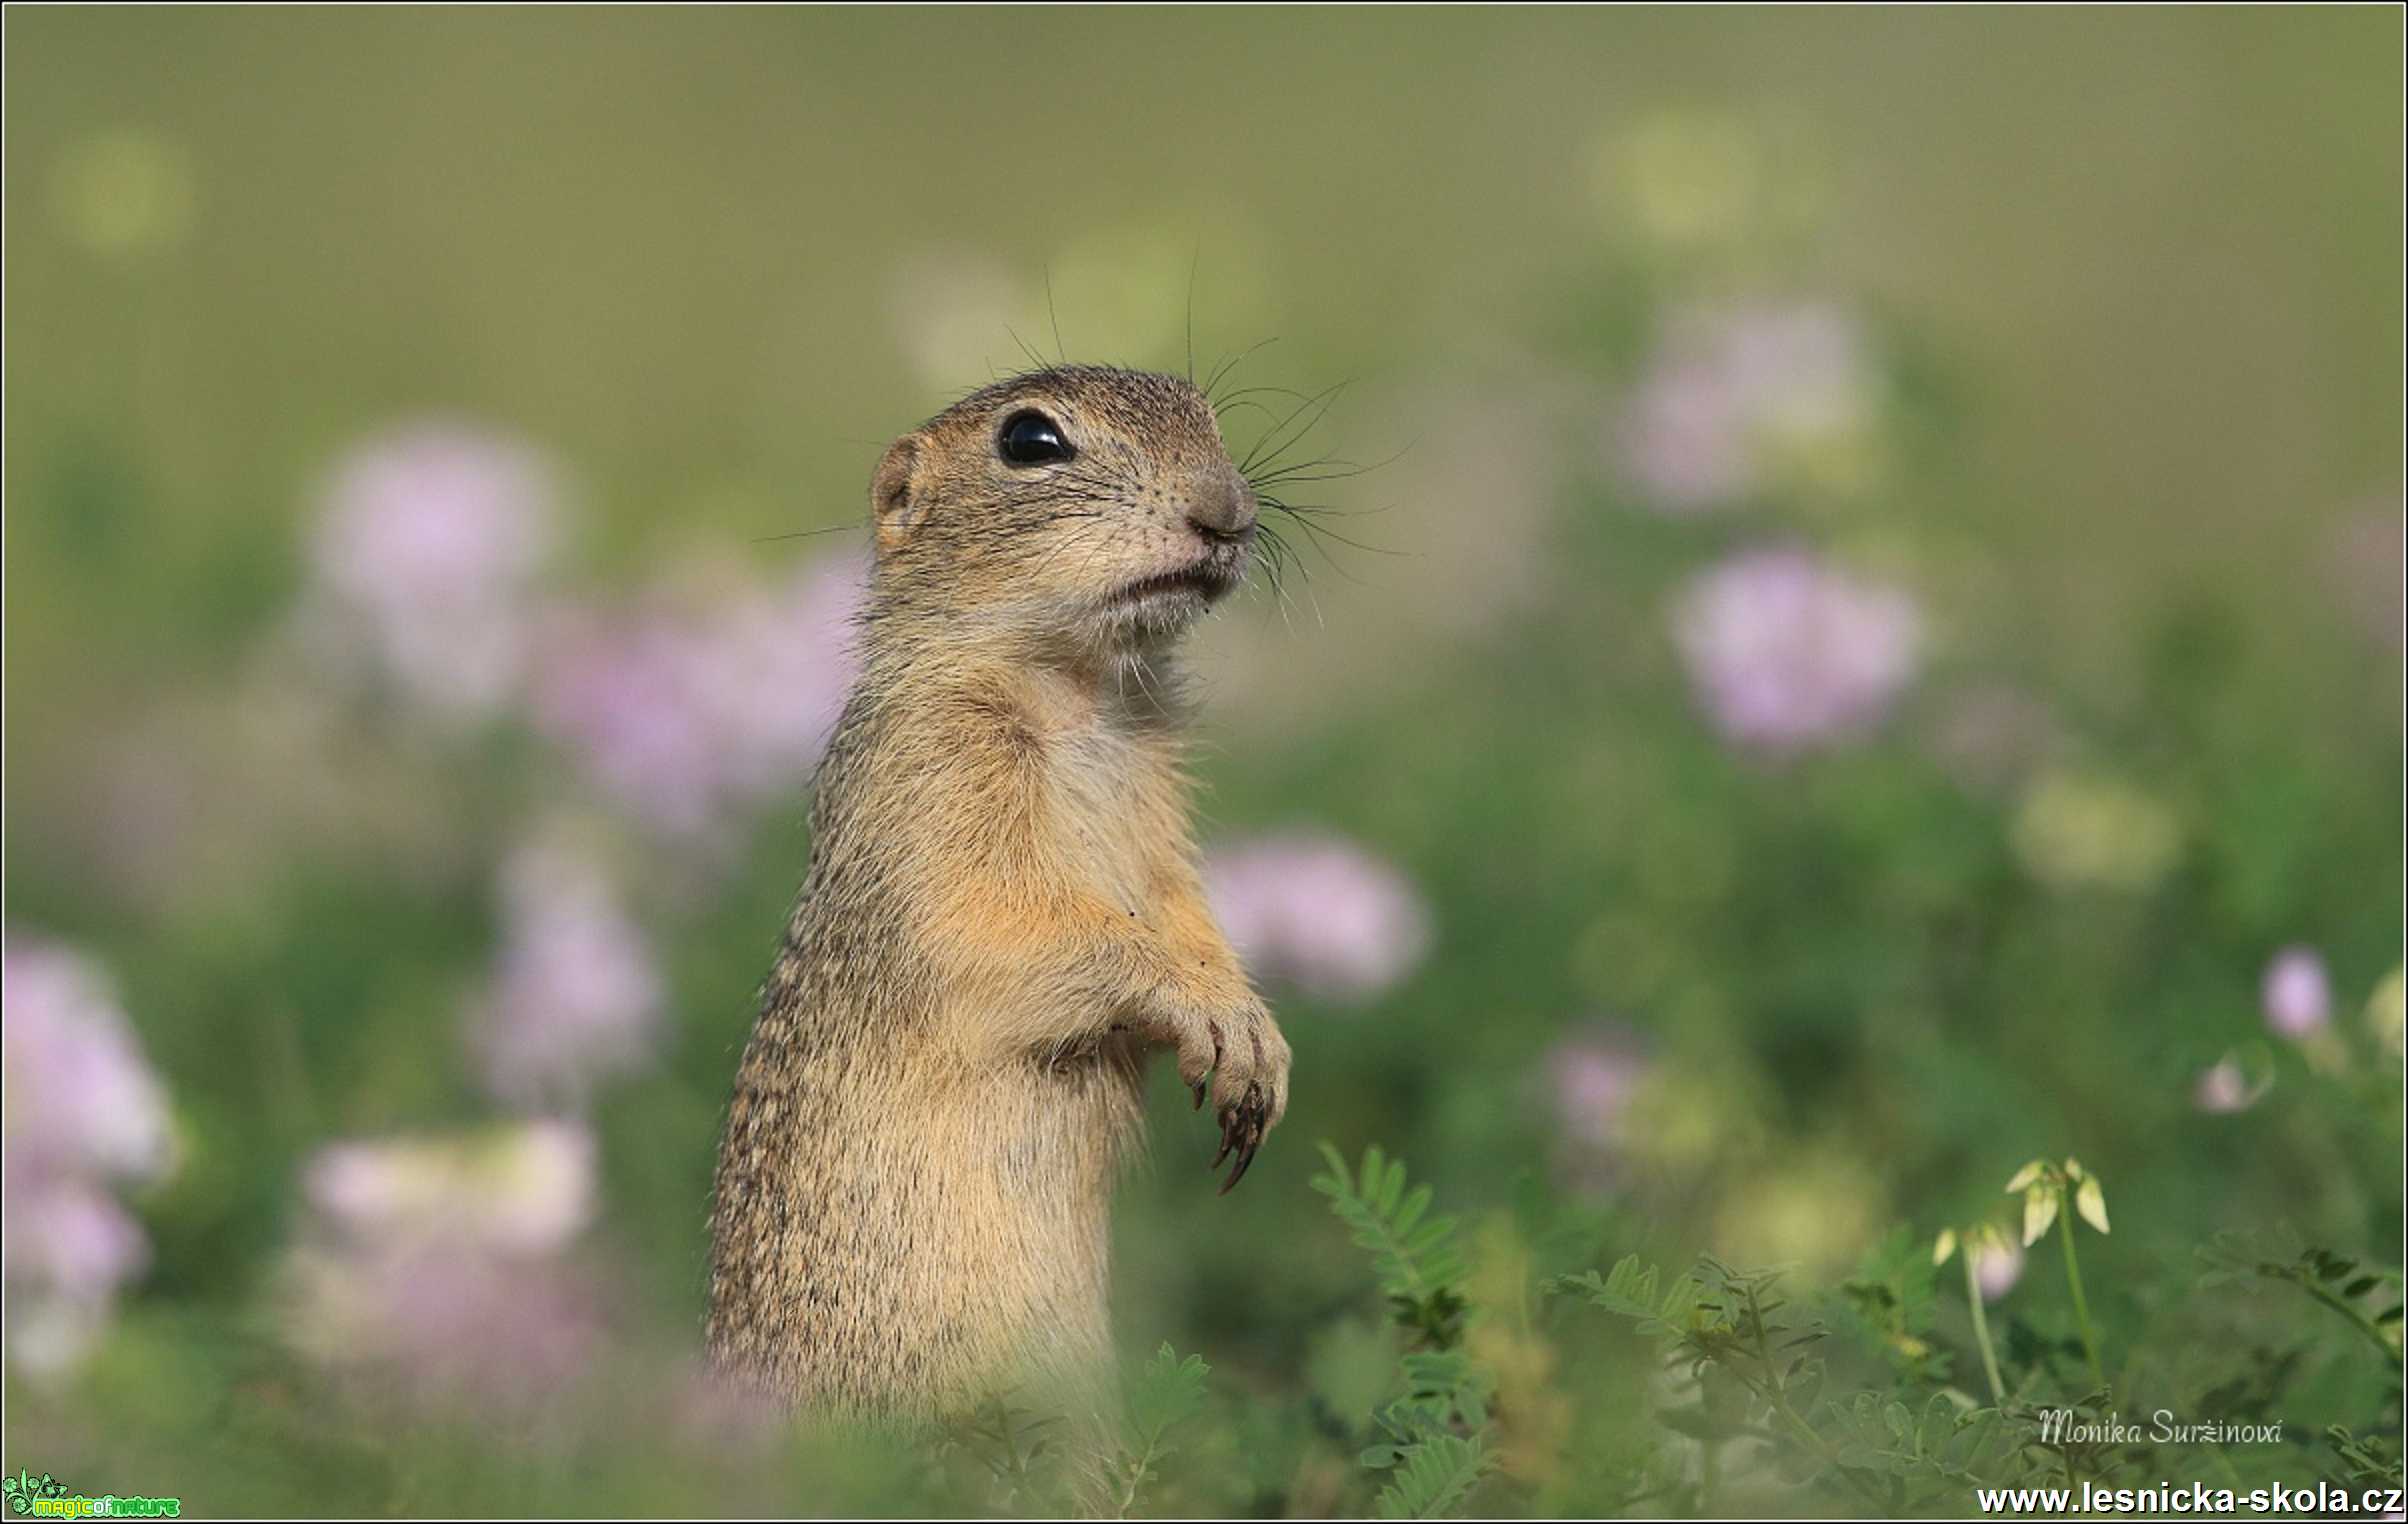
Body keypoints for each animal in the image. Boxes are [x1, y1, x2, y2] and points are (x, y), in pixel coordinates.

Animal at [703, 365, 1290, 1415]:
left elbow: (1185, 913)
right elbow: (1004, 938)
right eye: (1029, 442)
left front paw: (1257, 1034)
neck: (1084, 695)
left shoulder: (1161, 823)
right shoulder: (934, 798)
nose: (1226, 509)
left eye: (1211, 416)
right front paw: (1209, 1012)